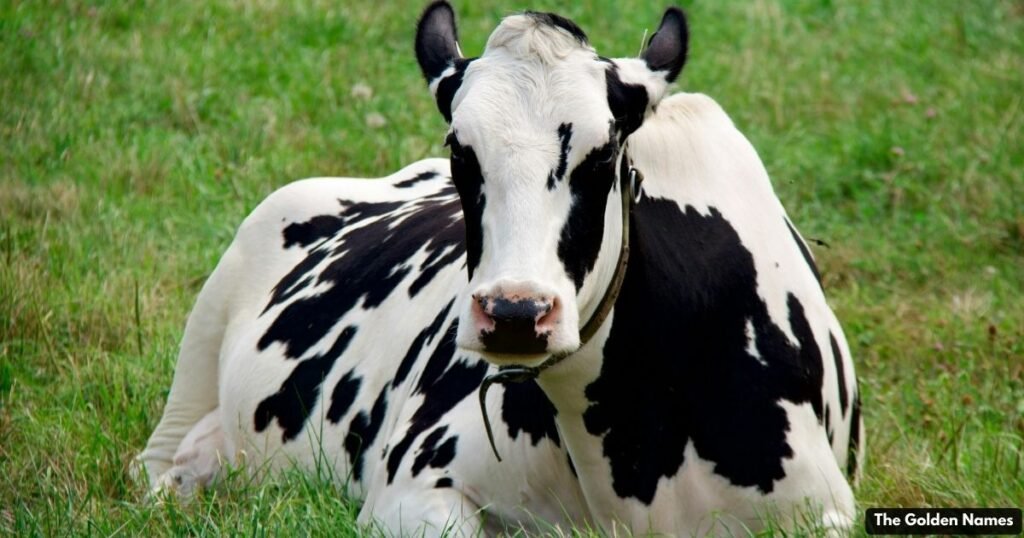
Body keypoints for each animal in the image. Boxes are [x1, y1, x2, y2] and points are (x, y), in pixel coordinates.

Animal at [137, 2, 862, 535]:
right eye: (462, 153)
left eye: (603, 156)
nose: (516, 312)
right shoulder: (410, 490)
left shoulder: (823, 510)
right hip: (203, 339)